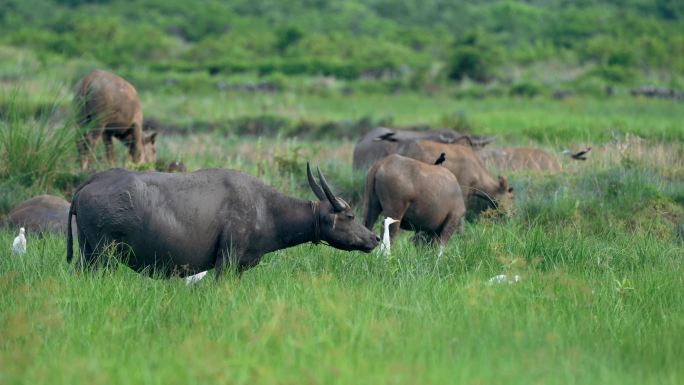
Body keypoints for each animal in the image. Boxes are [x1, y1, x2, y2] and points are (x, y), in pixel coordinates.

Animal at [67, 164, 380, 274]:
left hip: (87, 254)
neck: (266, 208)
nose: (375, 237)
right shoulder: (226, 261)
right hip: (104, 256)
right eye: (350, 215)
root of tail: (93, 180)